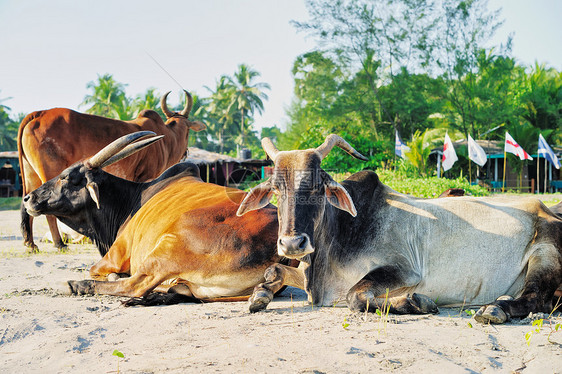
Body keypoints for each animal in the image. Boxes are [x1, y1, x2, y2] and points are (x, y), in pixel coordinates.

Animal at [17, 90, 206, 251]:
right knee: (47, 213)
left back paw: (30, 244)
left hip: (30, 174)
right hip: (48, 172)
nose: (186, 152)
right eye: (188, 131)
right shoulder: (146, 176)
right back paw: (59, 243)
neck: (167, 137)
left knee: (25, 203)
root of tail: (38, 114)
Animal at [236, 135, 560, 324]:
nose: (293, 244)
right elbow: (274, 271)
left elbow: (356, 297)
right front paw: (259, 296)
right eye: (276, 189)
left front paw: (416, 302)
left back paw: (495, 309)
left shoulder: (404, 270)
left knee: (536, 299)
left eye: (317, 187)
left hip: (545, 254)